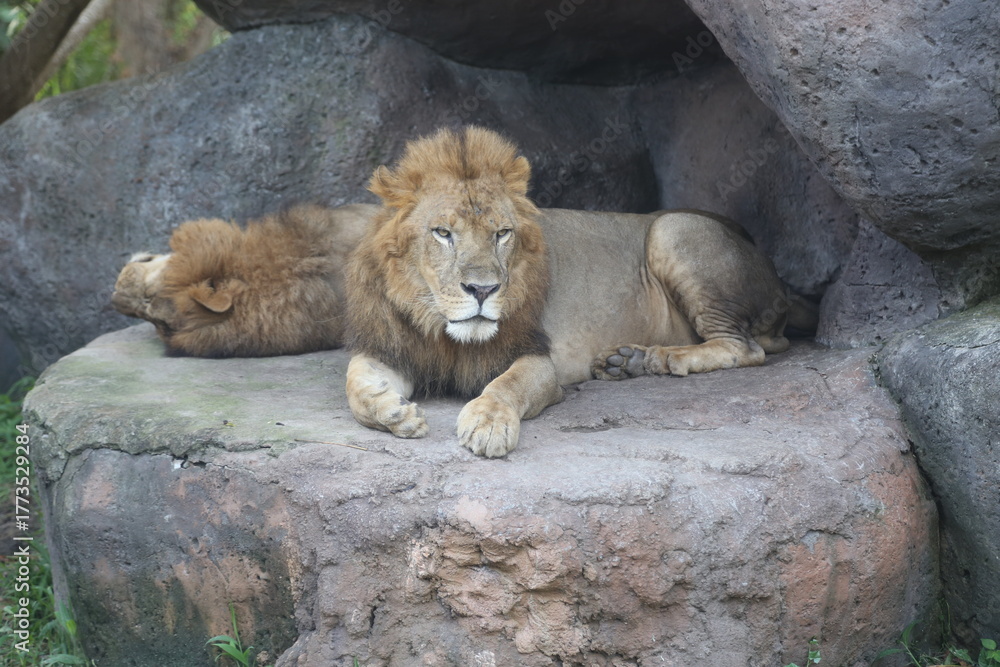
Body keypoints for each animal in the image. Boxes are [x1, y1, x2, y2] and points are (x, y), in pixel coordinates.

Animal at [343, 126, 816, 457]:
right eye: (443, 233)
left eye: (501, 234)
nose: (483, 289)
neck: (441, 328)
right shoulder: (394, 346)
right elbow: (355, 383)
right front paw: (393, 410)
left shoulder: (538, 359)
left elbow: (506, 385)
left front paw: (488, 424)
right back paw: (630, 361)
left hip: (673, 228)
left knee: (744, 347)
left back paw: (662, 358)